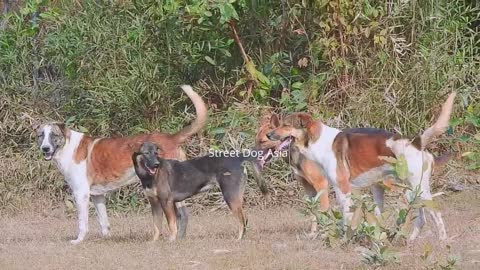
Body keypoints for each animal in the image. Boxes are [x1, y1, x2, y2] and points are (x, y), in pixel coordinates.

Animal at [33, 85, 206, 245]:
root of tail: (172, 137)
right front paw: (105, 239)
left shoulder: (81, 194)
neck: (67, 146)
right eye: (41, 136)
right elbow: (104, 222)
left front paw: (78, 241)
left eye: (53, 135)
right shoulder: (97, 196)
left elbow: (82, 223)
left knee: (180, 215)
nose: (45, 148)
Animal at [133, 141, 268, 240]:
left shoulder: (166, 202)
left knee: (242, 219)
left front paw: (171, 241)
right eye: (146, 153)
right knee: (245, 218)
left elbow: (171, 224)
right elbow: (157, 226)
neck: (149, 177)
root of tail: (238, 158)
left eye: (156, 153)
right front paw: (154, 243)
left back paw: (238, 239)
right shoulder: (155, 203)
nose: (156, 164)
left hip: (230, 196)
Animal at [266, 93, 458, 240]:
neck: (318, 141)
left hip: (417, 189)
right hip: (407, 191)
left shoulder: (341, 187)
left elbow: (345, 216)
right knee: (422, 218)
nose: (268, 135)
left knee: (436, 214)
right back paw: (410, 240)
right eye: (279, 124)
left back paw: (442, 241)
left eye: (286, 125)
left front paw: (344, 238)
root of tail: (416, 143)